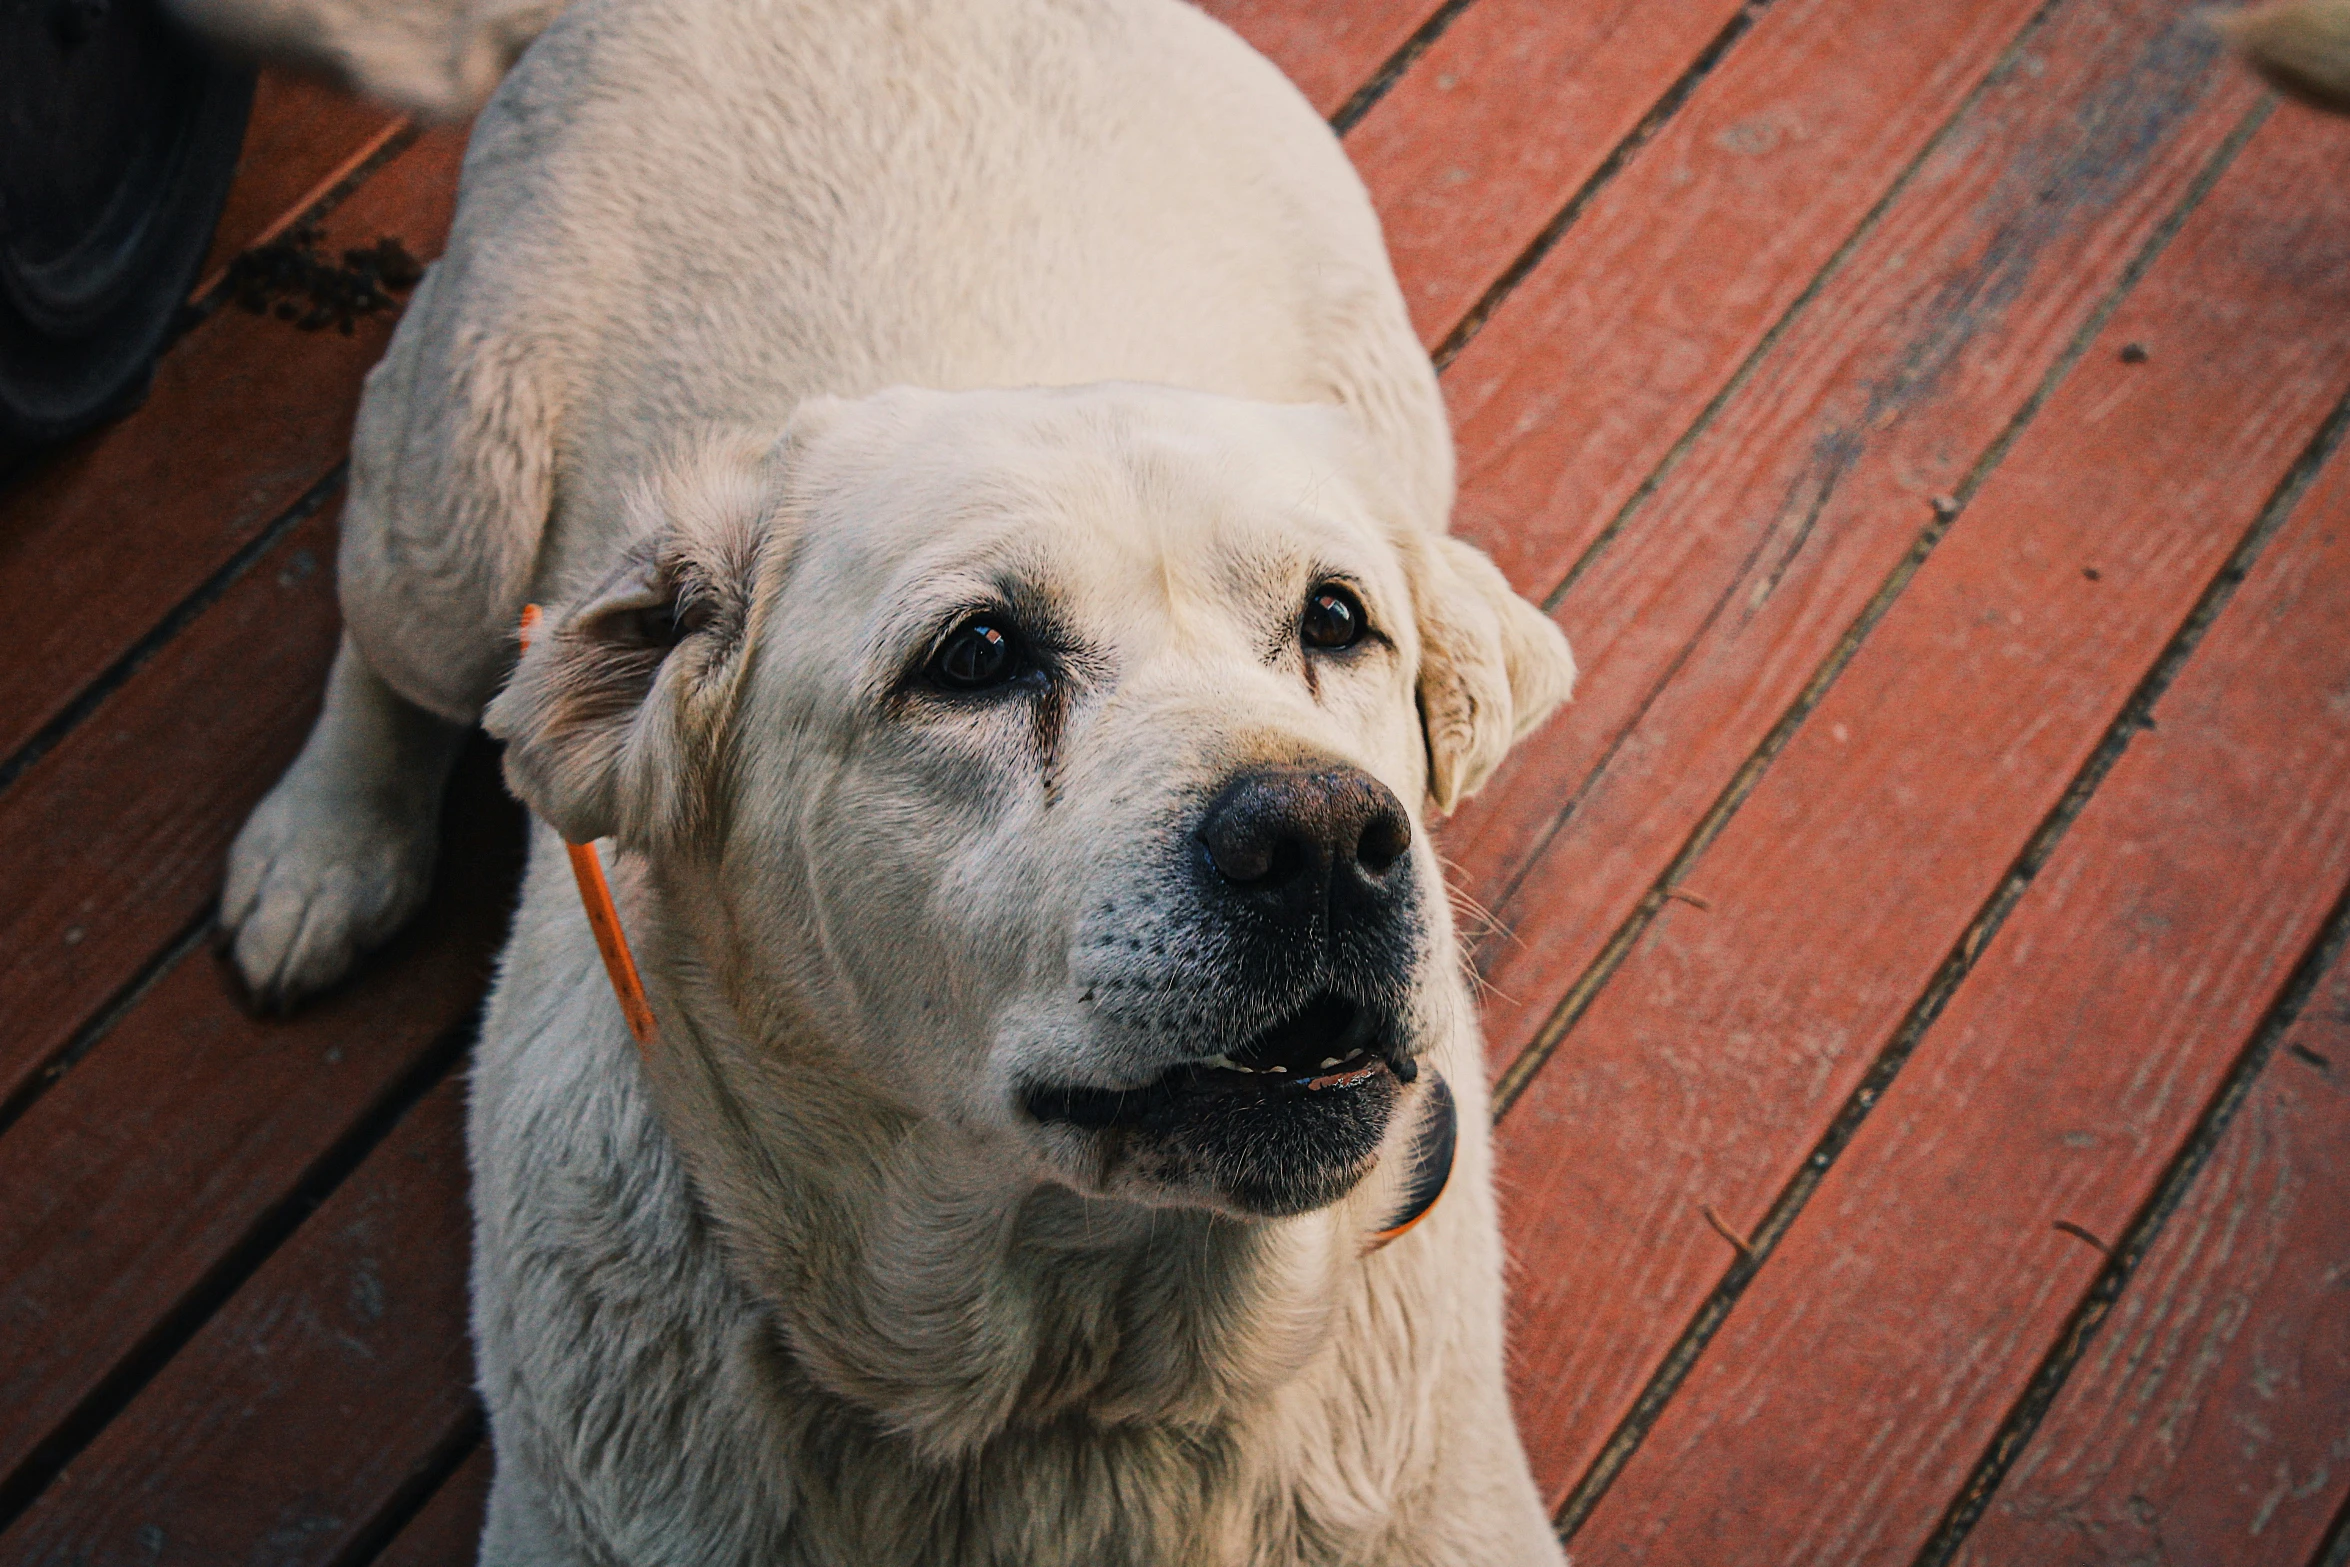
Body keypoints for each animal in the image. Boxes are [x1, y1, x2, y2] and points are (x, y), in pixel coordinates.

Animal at [202, 0, 1579, 1559]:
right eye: (975, 654)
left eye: (1336, 620)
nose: (1328, 835)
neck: (1061, 1408)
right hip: (456, 498)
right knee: (397, 653)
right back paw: (323, 849)